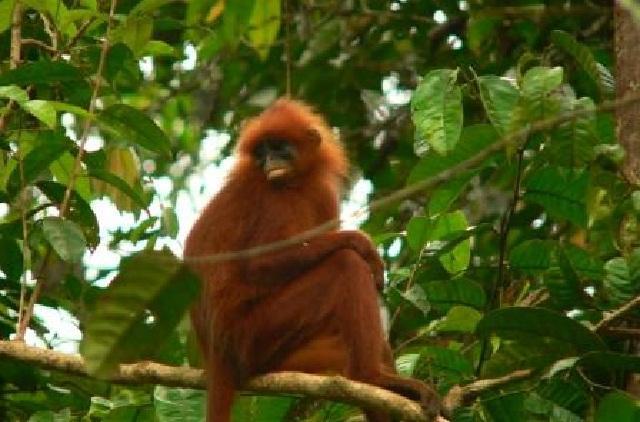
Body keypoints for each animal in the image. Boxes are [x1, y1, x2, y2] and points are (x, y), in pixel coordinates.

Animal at [182, 99, 438, 422]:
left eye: (279, 147)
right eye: (261, 152)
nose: (270, 162)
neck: (296, 183)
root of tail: (217, 355)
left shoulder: (321, 193)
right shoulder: (275, 199)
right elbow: (260, 265)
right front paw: (362, 244)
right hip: (254, 335)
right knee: (345, 264)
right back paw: (371, 378)